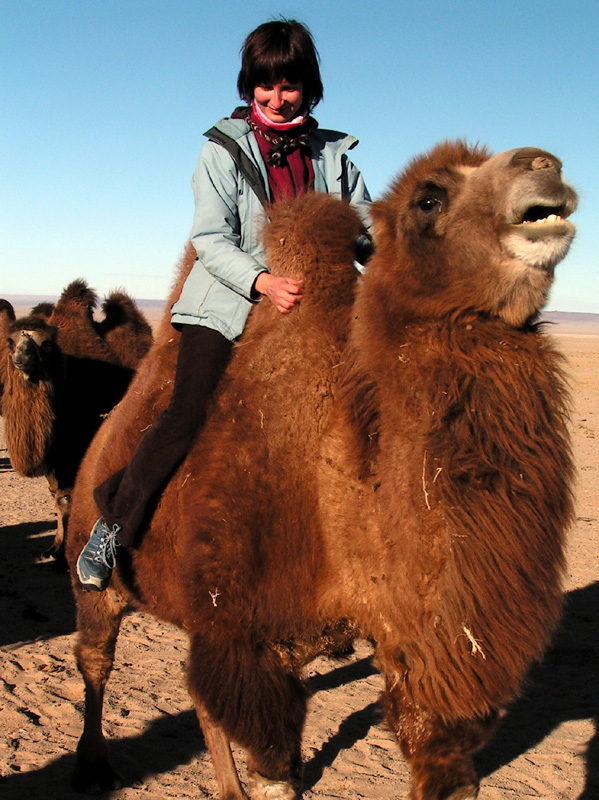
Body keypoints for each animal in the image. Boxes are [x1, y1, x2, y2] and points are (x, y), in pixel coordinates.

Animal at [1, 284, 155, 560]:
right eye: (11, 341)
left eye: (46, 344)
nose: (22, 356)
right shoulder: (56, 457)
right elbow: (58, 498)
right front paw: (53, 550)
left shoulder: (75, 447)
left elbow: (68, 498)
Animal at [64, 144, 576, 800]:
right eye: (428, 198)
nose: (543, 164)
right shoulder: (252, 641)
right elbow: (276, 774)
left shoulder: (408, 648)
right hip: (93, 565)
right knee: (96, 656)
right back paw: (92, 764)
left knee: (195, 689)